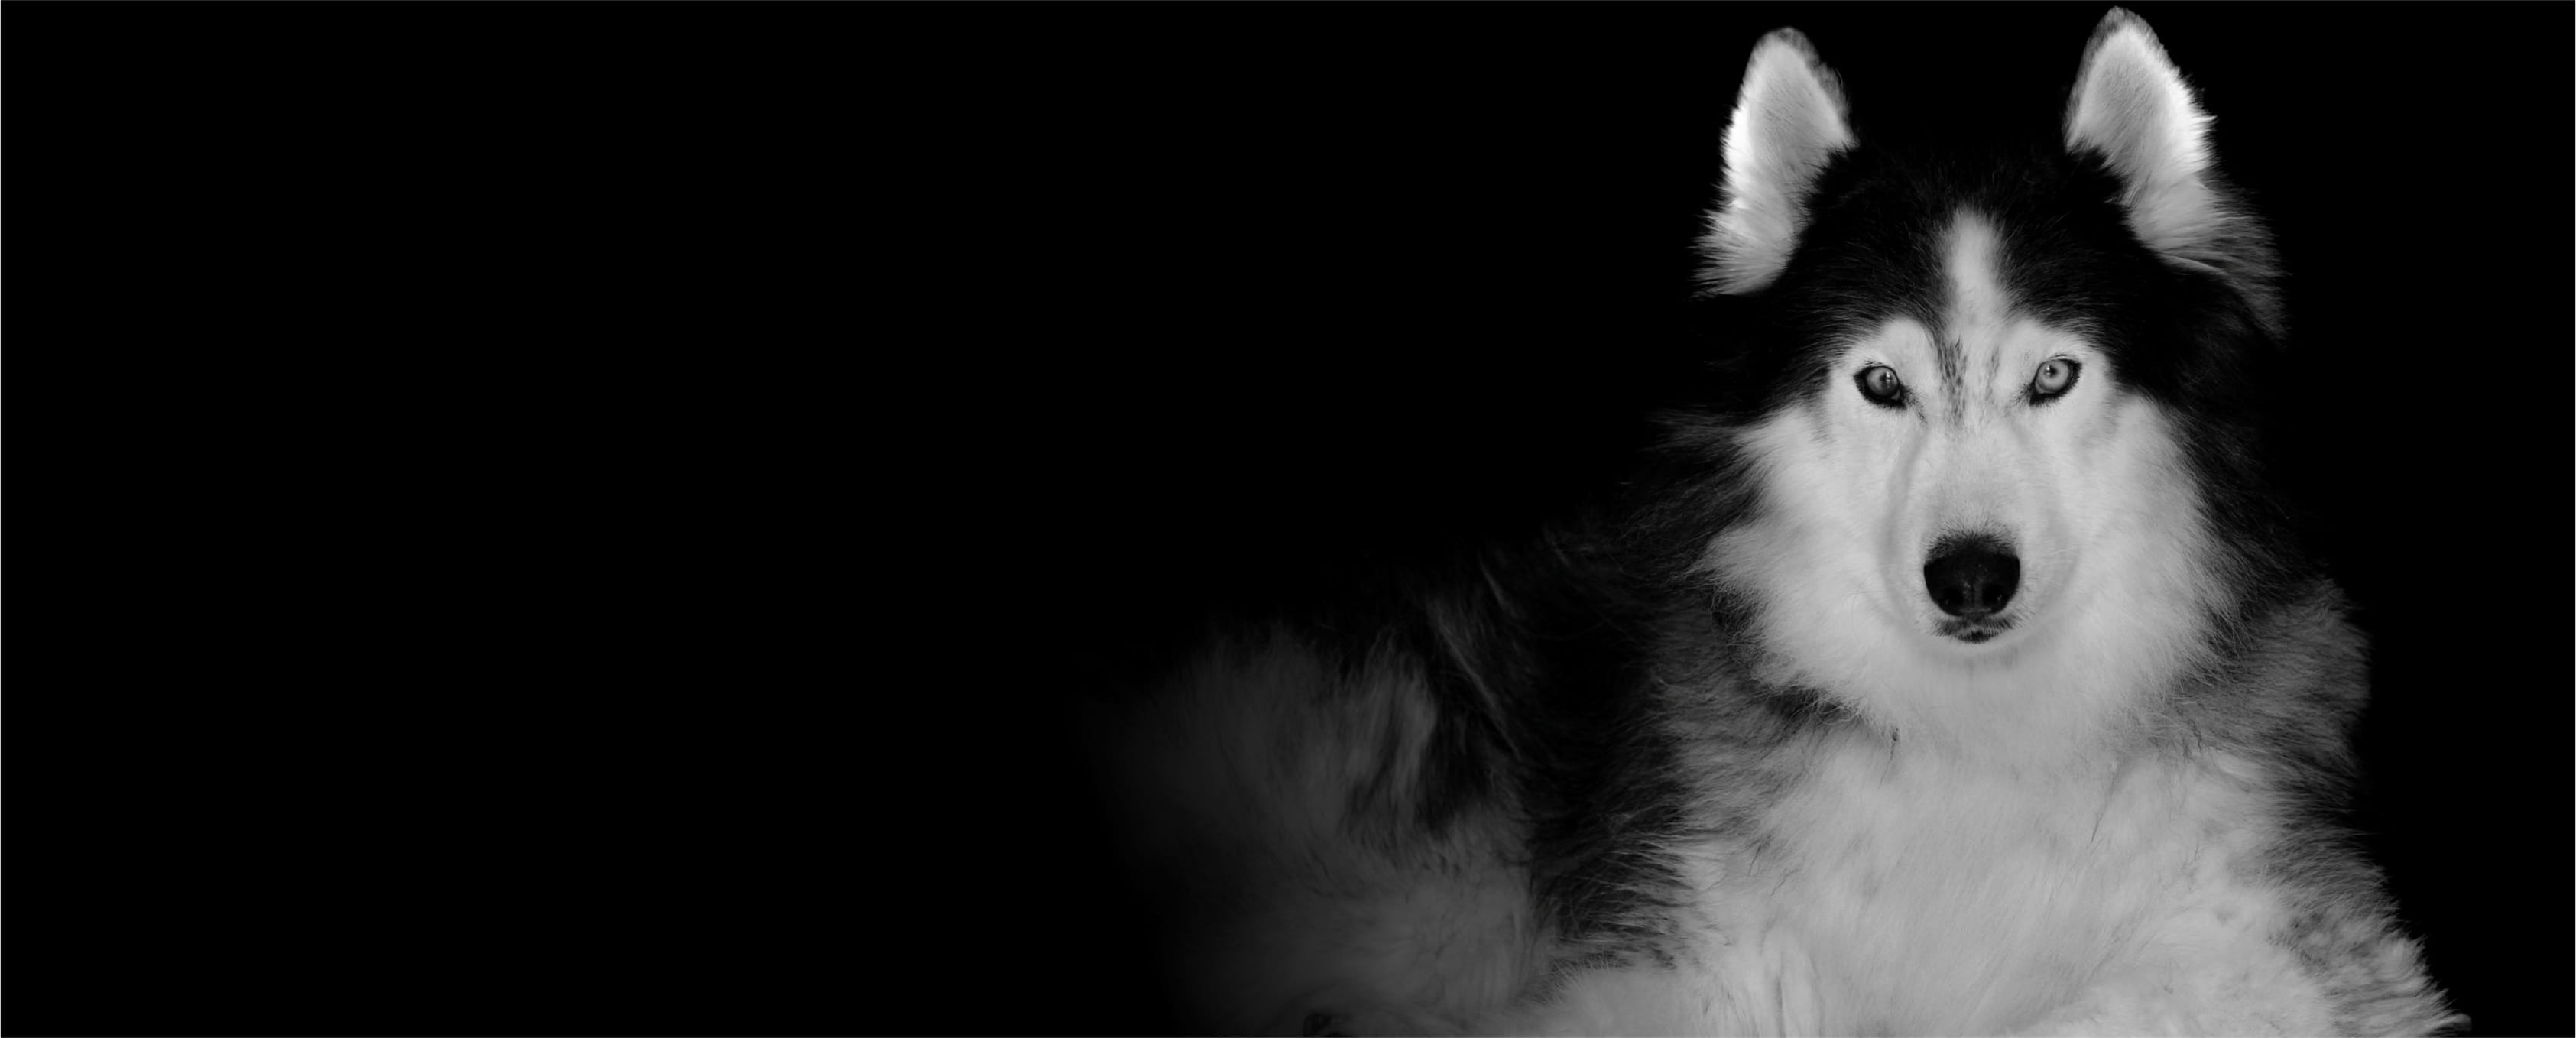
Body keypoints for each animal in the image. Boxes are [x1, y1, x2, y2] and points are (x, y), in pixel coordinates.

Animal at [1090, 10, 2460, 1036]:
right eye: (1881, 383)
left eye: (2054, 376)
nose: (1972, 577)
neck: (1972, 729)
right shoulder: (1690, 961)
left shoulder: (2294, 946)